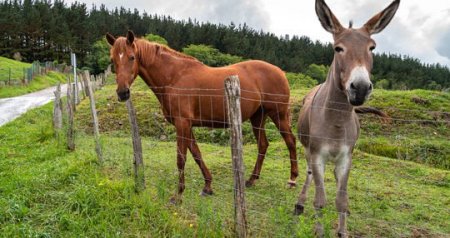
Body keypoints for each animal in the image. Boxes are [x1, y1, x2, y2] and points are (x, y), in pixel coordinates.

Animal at [106, 31, 298, 203]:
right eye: (113, 60)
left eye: (132, 57)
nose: (122, 93)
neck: (174, 77)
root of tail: (280, 71)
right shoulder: (186, 125)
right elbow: (197, 154)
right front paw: (207, 186)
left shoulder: (182, 124)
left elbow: (181, 159)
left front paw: (178, 195)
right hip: (258, 117)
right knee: (263, 145)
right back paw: (251, 180)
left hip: (278, 115)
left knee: (290, 141)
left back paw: (292, 180)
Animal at [294, 0, 400, 236]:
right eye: (338, 49)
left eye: (372, 48)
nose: (359, 88)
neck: (337, 120)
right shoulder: (317, 155)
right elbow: (320, 200)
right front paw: (319, 231)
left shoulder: (346, 157)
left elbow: (341, 200)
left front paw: (343, 231)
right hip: (307, 150)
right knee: (309, 174)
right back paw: (299, 204)